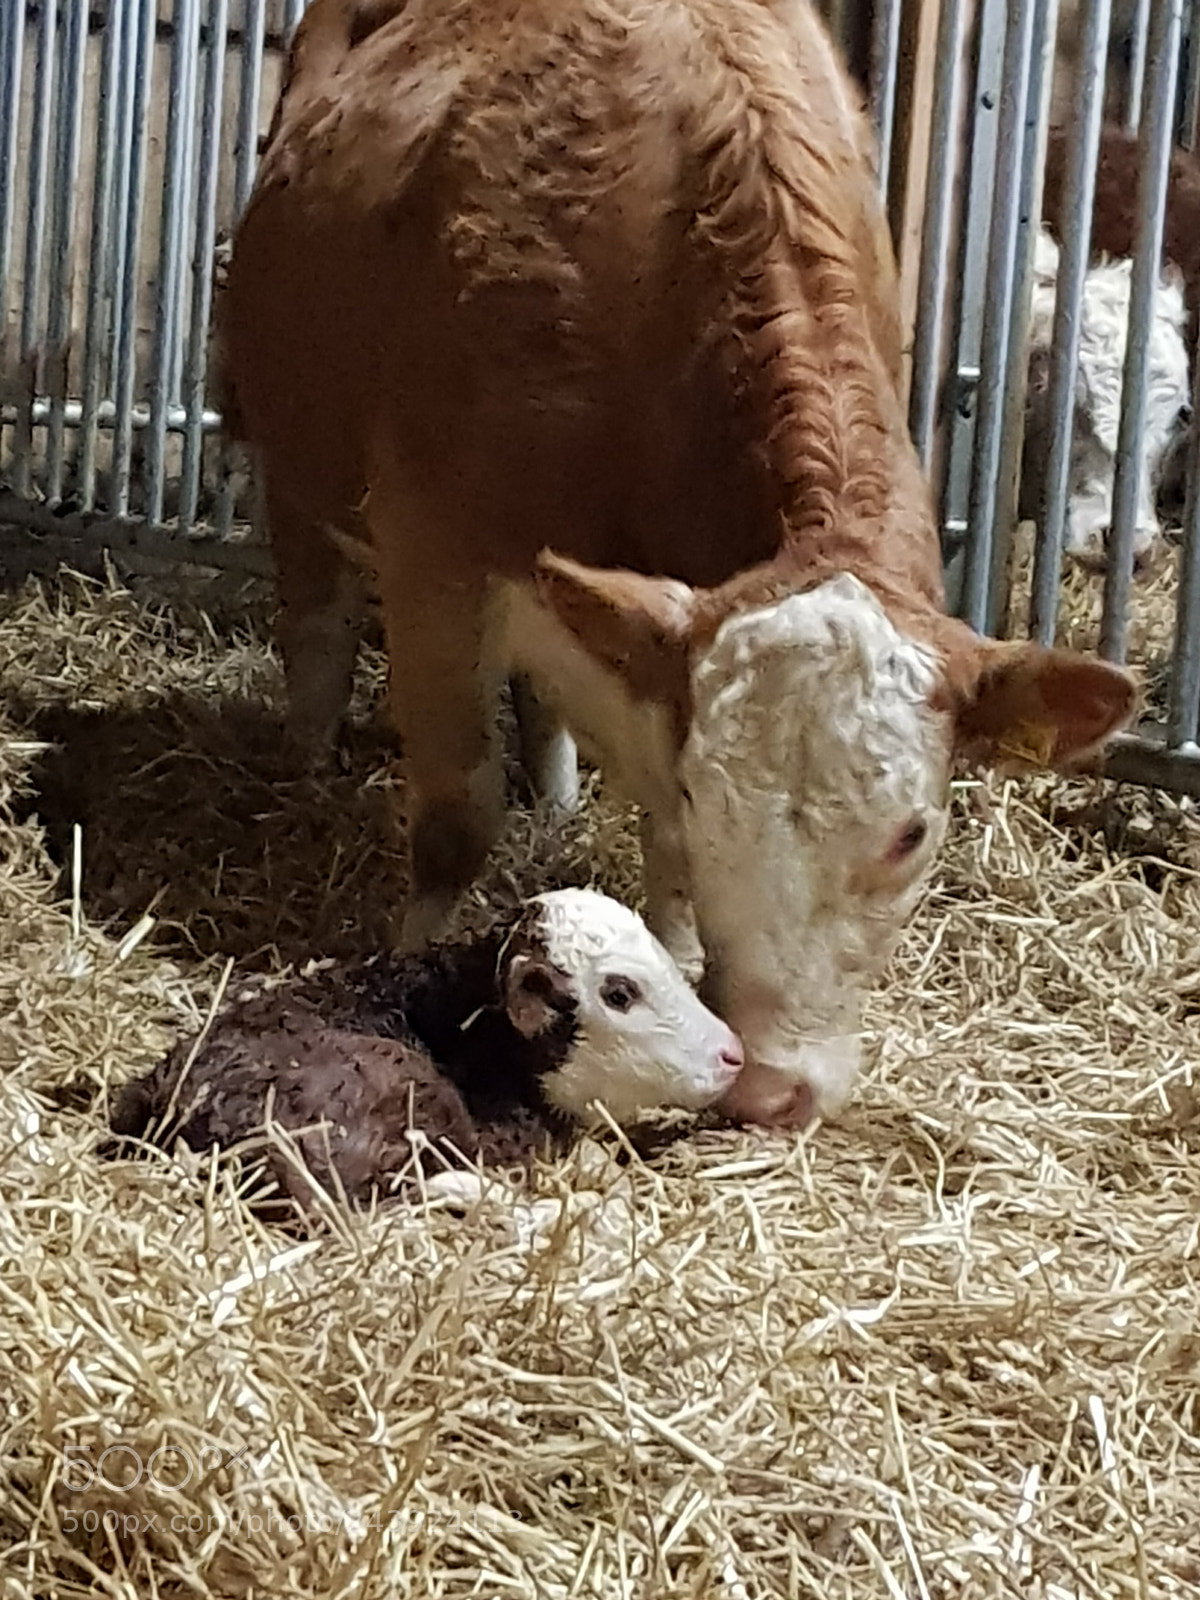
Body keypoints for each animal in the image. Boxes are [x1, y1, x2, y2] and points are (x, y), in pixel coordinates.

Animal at [218, 0, 1137, 1129]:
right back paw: (304, 761)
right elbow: (456, 820)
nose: (779, 1089)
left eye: (914, 833)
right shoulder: (435, 547)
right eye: (712, 798)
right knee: (318, 622)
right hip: (295, 467)